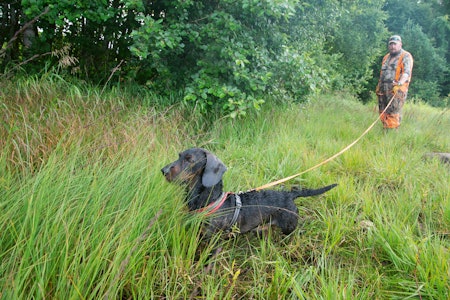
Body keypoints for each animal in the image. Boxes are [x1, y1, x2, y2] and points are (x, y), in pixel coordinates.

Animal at [162, 148, 338, 237]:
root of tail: (290, 194)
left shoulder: (210, 236)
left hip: (289, 225)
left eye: (189, 159)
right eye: (179, 156)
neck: (212, 200)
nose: (163, 171)